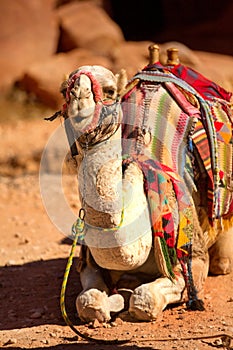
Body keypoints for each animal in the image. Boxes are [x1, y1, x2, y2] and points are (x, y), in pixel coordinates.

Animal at [58, 46, 233, 322]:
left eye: (110, 91)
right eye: (65, 89)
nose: (79, 98)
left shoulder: (190, 257)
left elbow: (145, 298)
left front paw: (127, 298)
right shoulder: (89, 263)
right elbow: (87, 301)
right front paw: (111, 301)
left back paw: (223, 262)